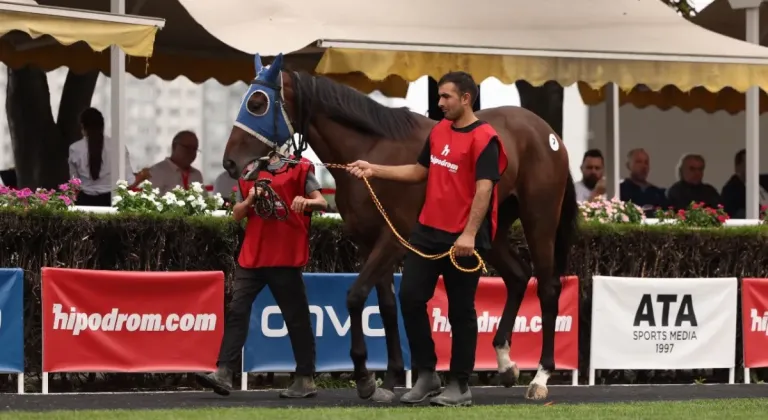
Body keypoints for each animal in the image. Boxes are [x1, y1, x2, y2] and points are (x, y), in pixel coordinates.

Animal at [220, 53, 576, 404]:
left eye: (257, 103)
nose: (229, 163)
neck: (373, 147)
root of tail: (549, 134)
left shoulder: (392, 239)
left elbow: (355, 296)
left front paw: (365, 378)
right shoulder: (368, 241)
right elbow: (387, 306)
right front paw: (390, 380)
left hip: (539, 218)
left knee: (547, 287)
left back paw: (541, 376)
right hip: (490, 229)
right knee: (517, 276)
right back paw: (505, 363)